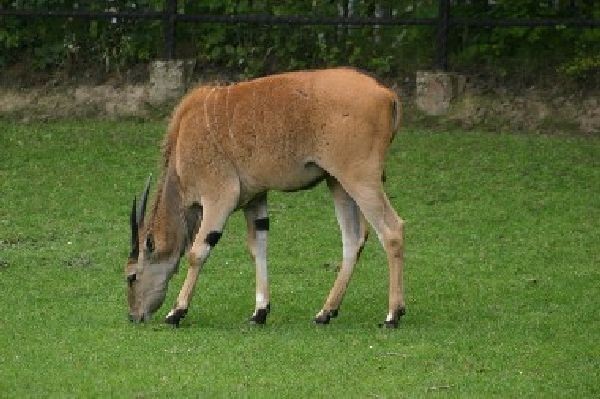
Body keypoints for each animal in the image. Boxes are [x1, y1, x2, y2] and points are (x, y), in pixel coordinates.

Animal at [127, 69, 408, 330]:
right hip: (337, 182)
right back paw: (325, 312)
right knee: (353, 237)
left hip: (360, 179)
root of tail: (386, 94)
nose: (133, 316)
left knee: (391, 230)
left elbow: (198, 252)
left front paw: (176, 312)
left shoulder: (219, 197)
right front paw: (259, 312)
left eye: (131, 276)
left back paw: (393, 315)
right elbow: (258, 247)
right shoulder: (255, 198)